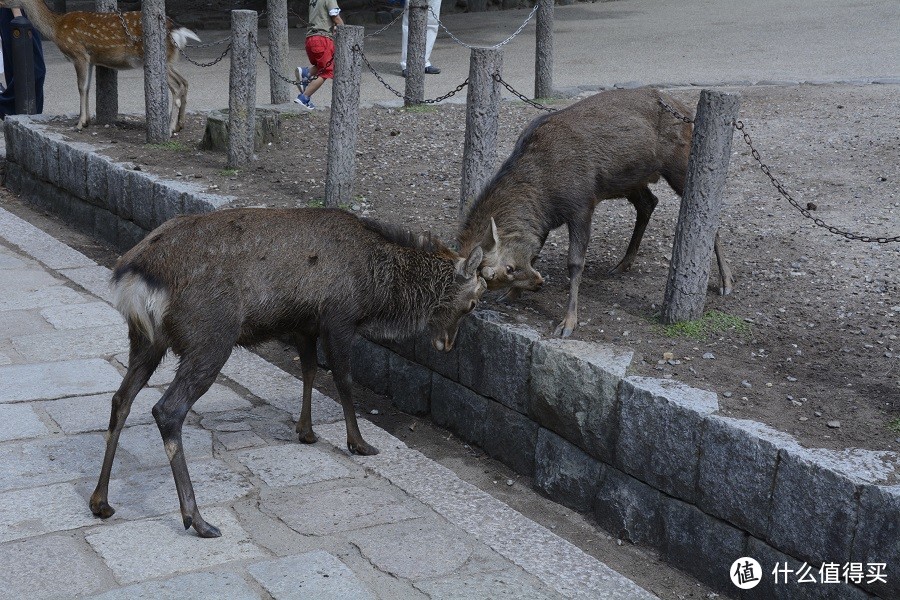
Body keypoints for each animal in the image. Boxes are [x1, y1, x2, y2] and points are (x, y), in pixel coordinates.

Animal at [0, 0, 200, 134]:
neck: (55, 28)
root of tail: (175, 30)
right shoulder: (90, 59)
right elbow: (87, 87)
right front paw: (87, 120)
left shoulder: (79, 53)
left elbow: (81, 87)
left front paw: (79, 123)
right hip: (169, 60)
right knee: (185, 82)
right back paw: (180, 124)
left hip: (155, 58)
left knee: (177, 87)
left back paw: (170, 127)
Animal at [458, 86, 732, 338]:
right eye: (491, 281)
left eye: (508, 268)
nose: (538, 284)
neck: (544, 191)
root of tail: (686, 110)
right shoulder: (544, 219)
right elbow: (535, 251)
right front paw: (511, 295)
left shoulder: (582, 204)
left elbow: (575, 262)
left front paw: (568, 322)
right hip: (630, 180)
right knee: (649, 202)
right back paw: (623, 264)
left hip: (679, 163)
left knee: (705, 208)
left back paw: (726, 281)